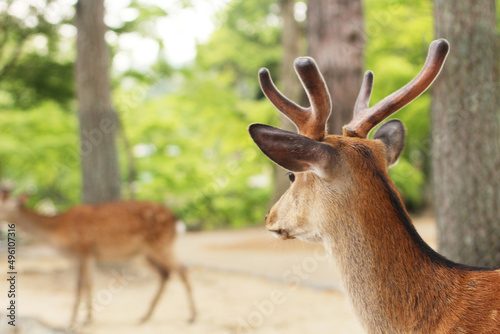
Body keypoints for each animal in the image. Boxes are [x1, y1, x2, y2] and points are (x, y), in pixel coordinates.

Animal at [0, 192, 196, 328]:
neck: (58, 232)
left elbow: (80, 285)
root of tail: (175, 219)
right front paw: (88, 319)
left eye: (2, 204)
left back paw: (193, 316)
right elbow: (90, 283)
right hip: (146, 253)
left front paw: (72, 322)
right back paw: (146, 315)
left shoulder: (83, 249)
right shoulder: (89, 255)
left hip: (161, 245)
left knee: (182, 270)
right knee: (166, 273)